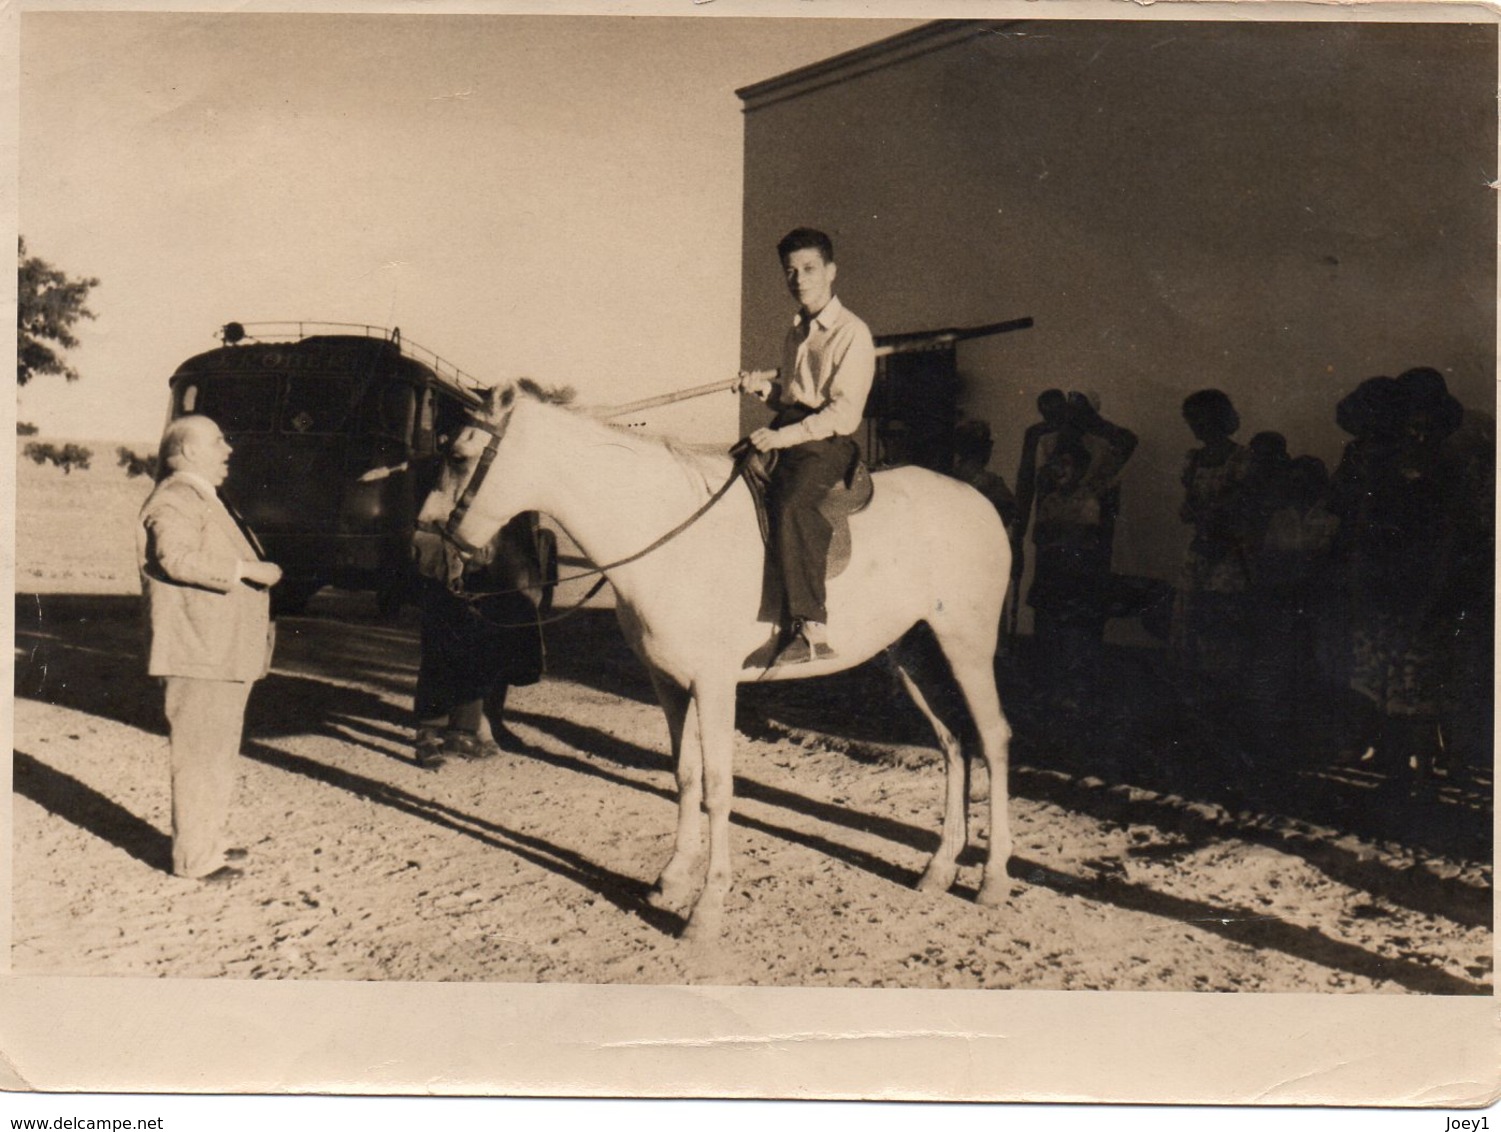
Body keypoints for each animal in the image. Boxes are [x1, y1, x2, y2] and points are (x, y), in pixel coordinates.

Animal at [417, 384, 1014, 936]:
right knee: (953, 743)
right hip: (914, 653)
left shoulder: (715, 685)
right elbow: (685, 776)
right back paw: (939, 868)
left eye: (460, 456)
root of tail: (977, 502)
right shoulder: (667, 682)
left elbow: (719, 788)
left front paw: (706, 908)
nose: (423, 546)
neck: (667, 537)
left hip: (966, 644)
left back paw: (993, 879)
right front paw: (672, 880)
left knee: (992, 738)